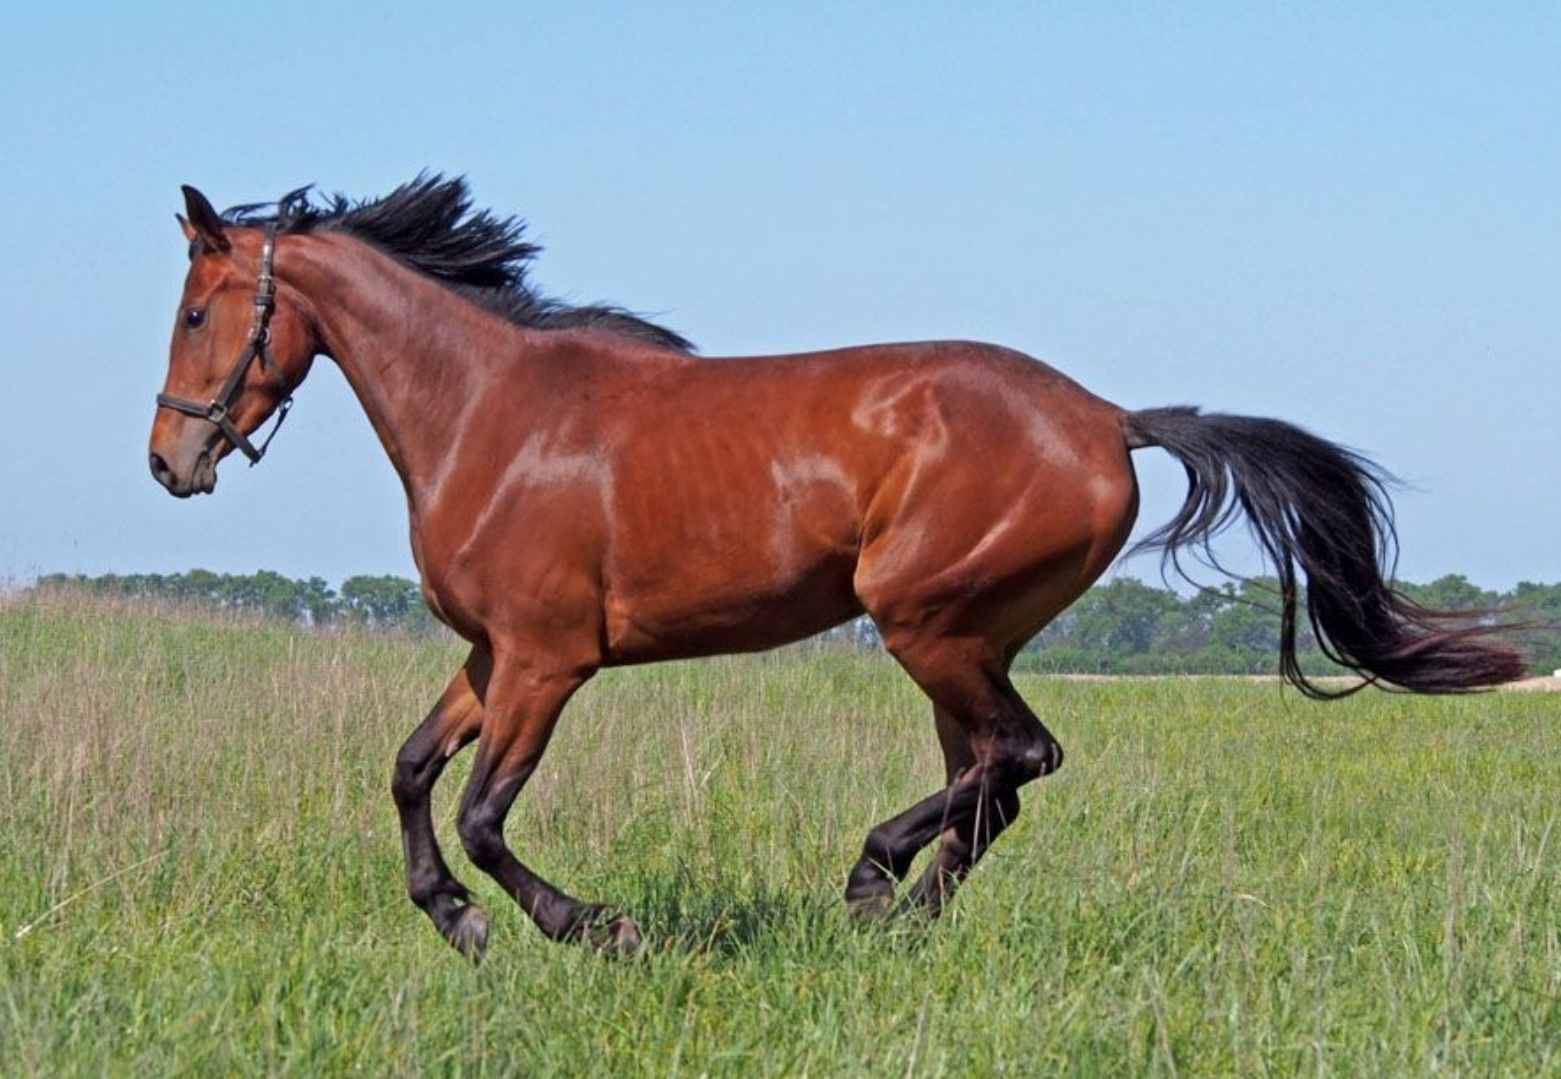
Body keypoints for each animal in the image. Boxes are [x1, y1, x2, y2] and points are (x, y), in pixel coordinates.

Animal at [149, 177, 1523, 961]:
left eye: (197, 310)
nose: (170, 459)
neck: (491, 413)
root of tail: (1106, 418)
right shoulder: (492, 656)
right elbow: (408, 772)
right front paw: (457, 920)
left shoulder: (547, 660)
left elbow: (486, 815)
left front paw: (594, 927)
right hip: (960, 639)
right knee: (993, 780)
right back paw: (901, 915)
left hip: (924, 620)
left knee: (1017, 759)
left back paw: (873, 882)